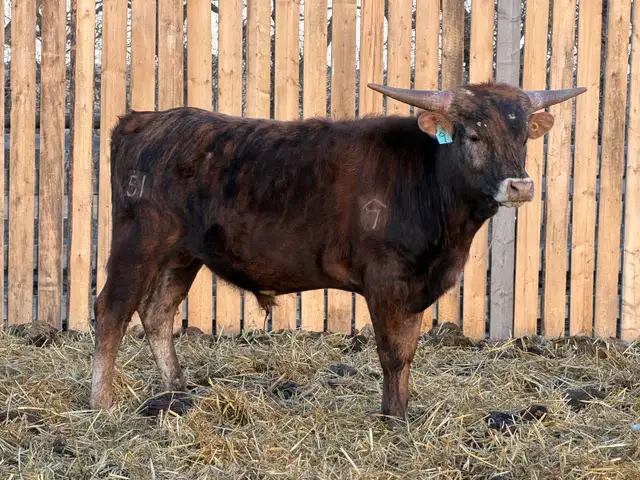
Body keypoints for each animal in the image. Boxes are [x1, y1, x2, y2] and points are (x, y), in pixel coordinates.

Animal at [90, 81, 585, 424]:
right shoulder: (387, 280)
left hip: (181, 255)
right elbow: (392, 352)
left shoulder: (415, 287)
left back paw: (178, 392)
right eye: (474, 136)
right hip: (138, 242)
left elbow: (407, 350)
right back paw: (102, 402)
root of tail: (144, 119)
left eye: (523, 135)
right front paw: (394, 420)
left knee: (157, 313)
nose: (520, 185)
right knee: (111, 311)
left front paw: (400, 412)